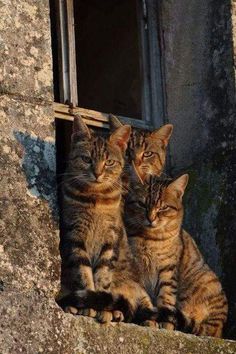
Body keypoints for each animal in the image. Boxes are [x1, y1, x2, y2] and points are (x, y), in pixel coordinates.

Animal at [57, 115, 156, 324]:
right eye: (87, 159)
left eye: (109, 162)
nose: (97, 173)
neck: (96, 198)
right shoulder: (75, 234)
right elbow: (83, 275)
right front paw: (90, 304)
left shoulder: (110, 238)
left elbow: (102, 277)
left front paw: (101, 304)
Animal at [124, 175, 228, 338]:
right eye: (141, 204)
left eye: (163, 207)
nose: (151, 218)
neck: (149, 238)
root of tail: (220, 325)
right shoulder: (136, 269)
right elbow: (143, 296)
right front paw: (149, 320)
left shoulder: (168, 270)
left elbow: (166, 298)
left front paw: (165, 324)